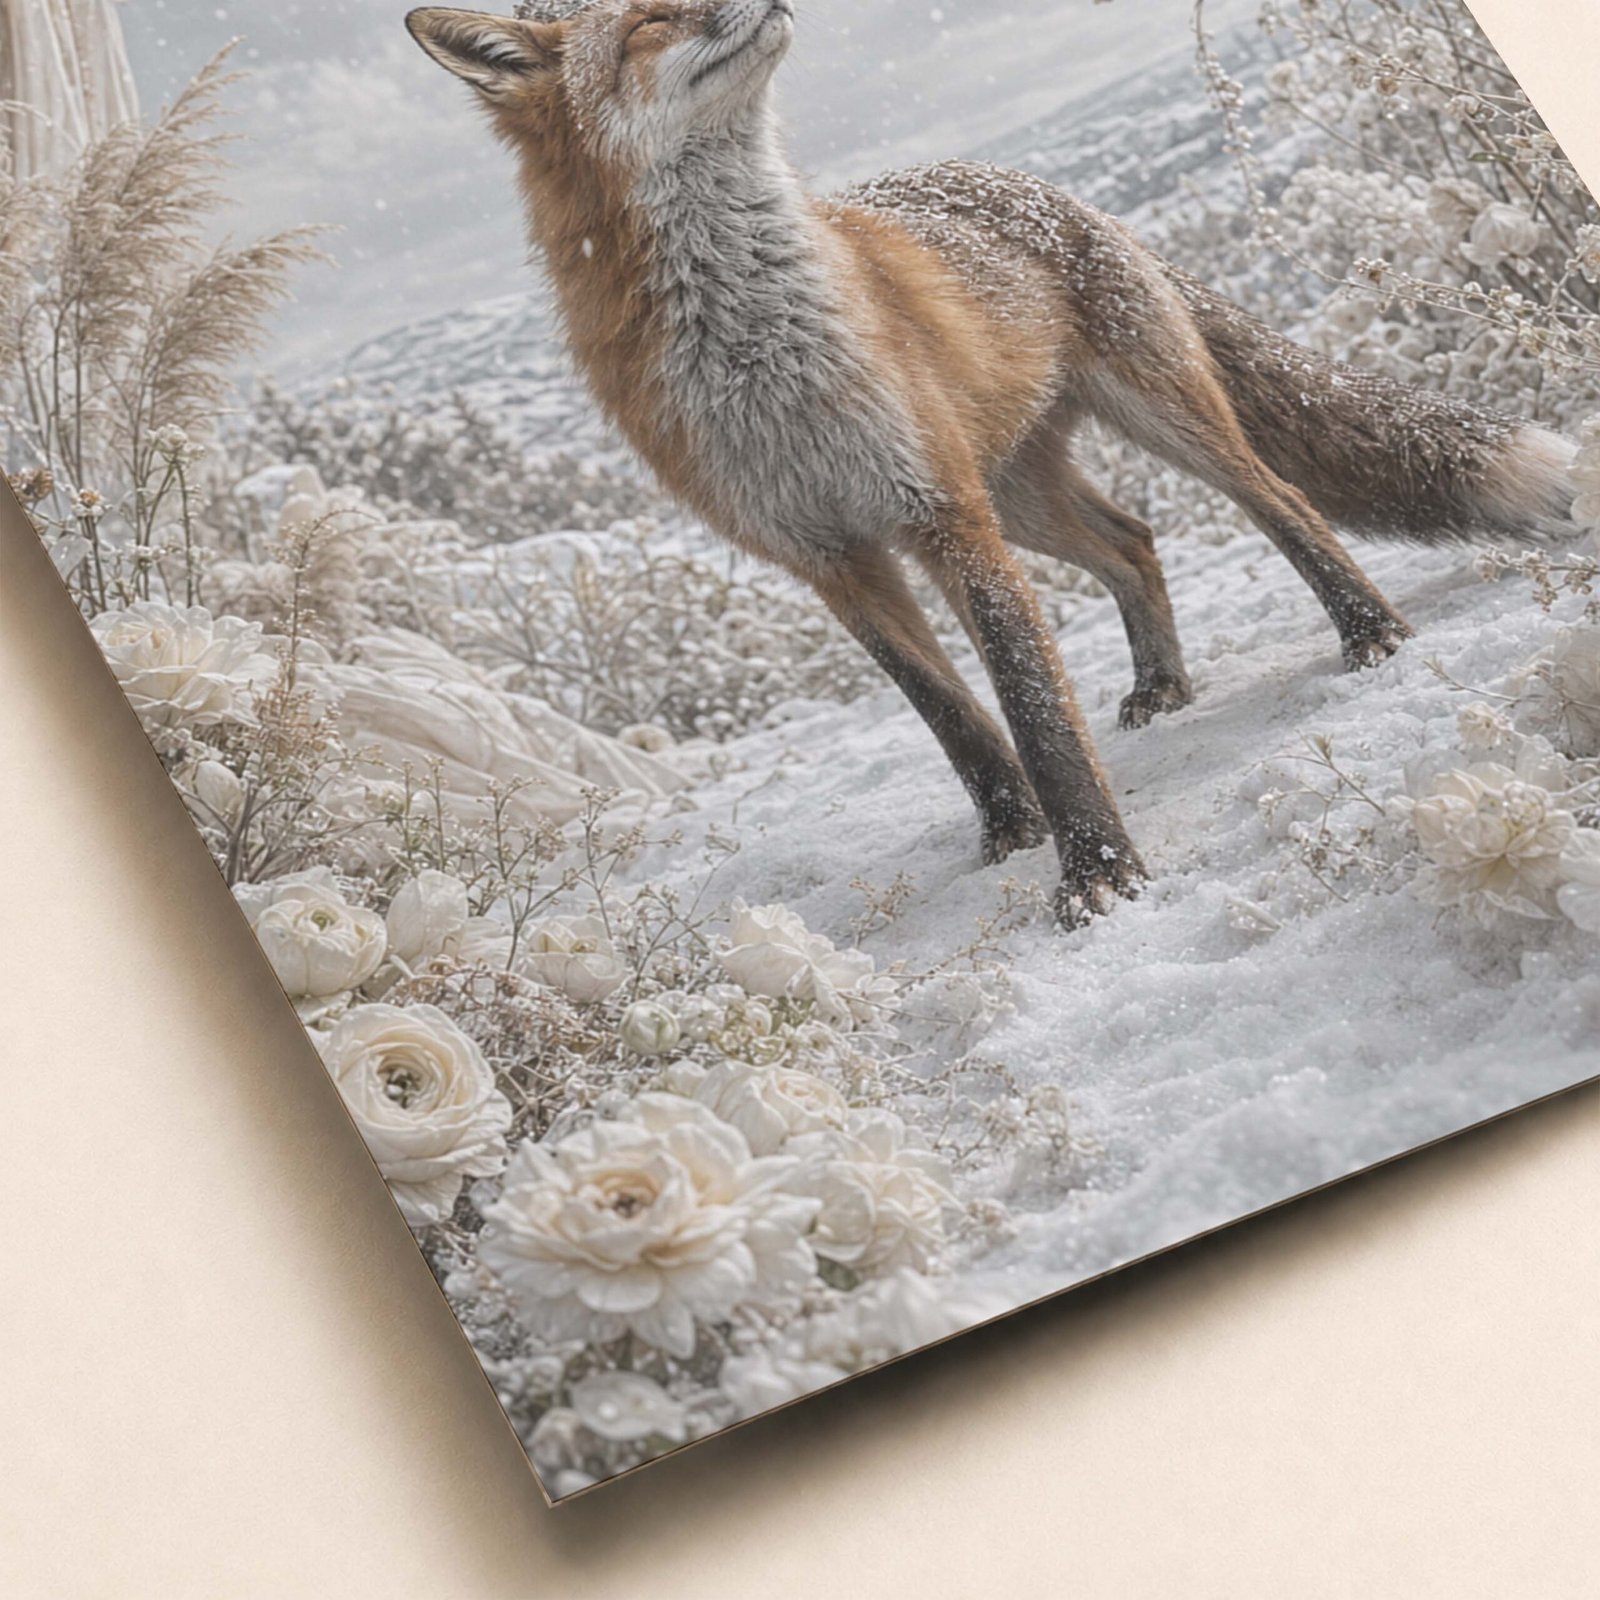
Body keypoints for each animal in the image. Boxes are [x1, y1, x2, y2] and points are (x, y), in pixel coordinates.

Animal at [404, 0, 1577, 928]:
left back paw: (1369, 631)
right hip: (1022, 496)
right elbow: (953, 716)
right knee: (1133, 541)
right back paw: (1162, 683)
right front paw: (1012, 833)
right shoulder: (826, 556)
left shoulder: (939, 512)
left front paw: (1098, 875)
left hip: (1150, 421)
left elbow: (1031, 704)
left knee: (1278, 498)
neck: (759, 358)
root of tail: (1014, 178)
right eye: (649, 17)